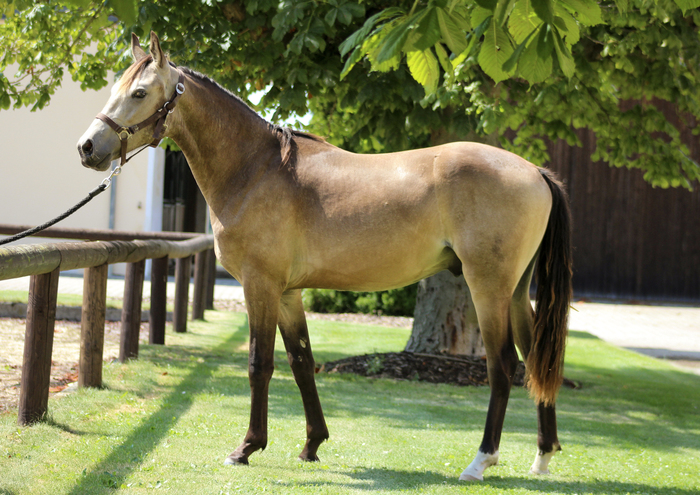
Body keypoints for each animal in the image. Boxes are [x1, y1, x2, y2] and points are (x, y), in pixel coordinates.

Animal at [77, 32, 572, 481]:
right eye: (115, 90)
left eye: (140, 93)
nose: (87, 147)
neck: (257, 169)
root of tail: (534, 171)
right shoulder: (287, 294)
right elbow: (301, 363)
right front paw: (312, 444)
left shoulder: (260, 285)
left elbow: (260, 363)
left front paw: (246, 448)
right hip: (515, 291)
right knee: (535, 358)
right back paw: (543, 457)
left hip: (488, 287)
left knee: (503, 366)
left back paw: (480, 461)